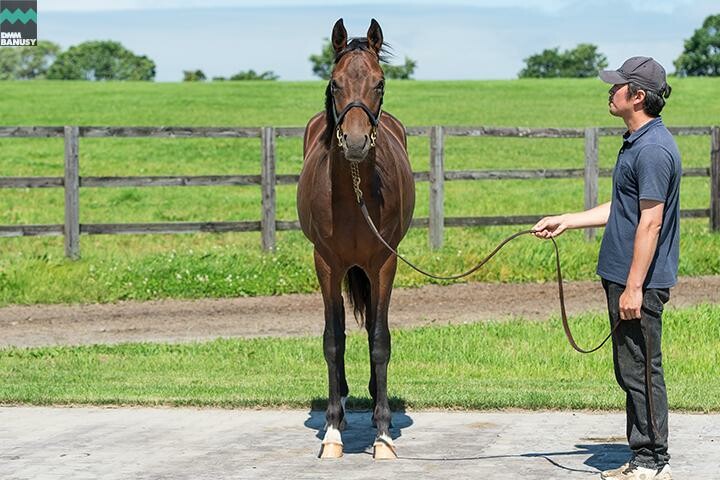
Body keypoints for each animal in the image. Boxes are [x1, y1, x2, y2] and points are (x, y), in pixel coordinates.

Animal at [296, 18, 414, 460]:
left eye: (380, 83)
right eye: (334, 83)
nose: (358, 142)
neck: (354, 191)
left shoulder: (384, 262)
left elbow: (379, 340)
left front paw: (382, 434)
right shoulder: (326, 263)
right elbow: (333, 340)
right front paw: (332, 432)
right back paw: (344, 406)